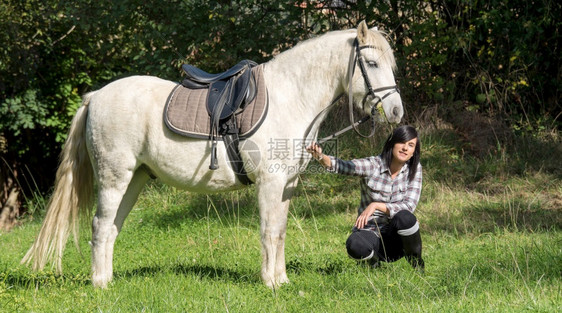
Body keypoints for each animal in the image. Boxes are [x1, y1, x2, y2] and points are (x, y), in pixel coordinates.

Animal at [20, 20, 398, 286]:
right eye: (371, 63)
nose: (395, 112)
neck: (290, 96)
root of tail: (95, 96)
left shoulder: (286, 185)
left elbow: (279, 232)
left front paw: (282, 279)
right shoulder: (270, 183)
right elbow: (268, 231)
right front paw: (270, 283)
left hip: (135, 180)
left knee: (111, 227)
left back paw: (109, 280)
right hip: (114, 178)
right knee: (100, 226)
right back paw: (99, 284)